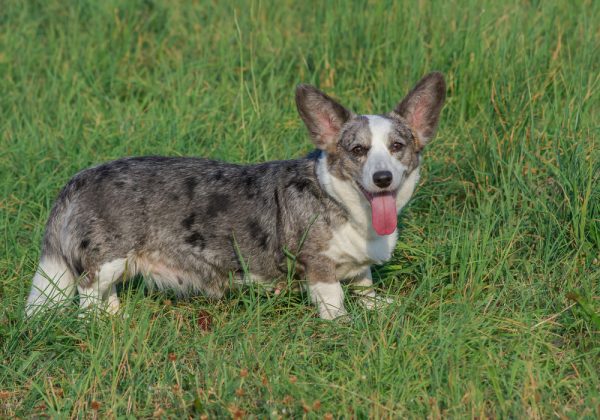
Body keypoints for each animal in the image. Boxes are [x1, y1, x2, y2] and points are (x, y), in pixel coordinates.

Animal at [24, 74, 446, 320]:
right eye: (358, 150)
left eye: (397, 146)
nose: (382, 178)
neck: (343, 202)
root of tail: (79, 178)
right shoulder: (319, 267)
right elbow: (335, 301)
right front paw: (344, 325)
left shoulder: (358, 267)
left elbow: (364, 284)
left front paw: (378, 305)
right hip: (108, 258)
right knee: (87, 293)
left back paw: (117, 318)